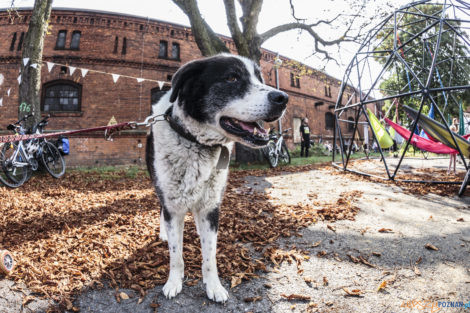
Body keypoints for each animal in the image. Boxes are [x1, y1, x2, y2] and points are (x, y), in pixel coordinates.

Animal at [146, 53, 286, 300]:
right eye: (231, 78)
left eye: (259, 78)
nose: (283, 98)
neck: (196, 142)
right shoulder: (174, 205)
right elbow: (175, 254)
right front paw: (174, 282)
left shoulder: (210, 208)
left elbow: (210, 255)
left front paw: (214, 286)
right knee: (161, 209)